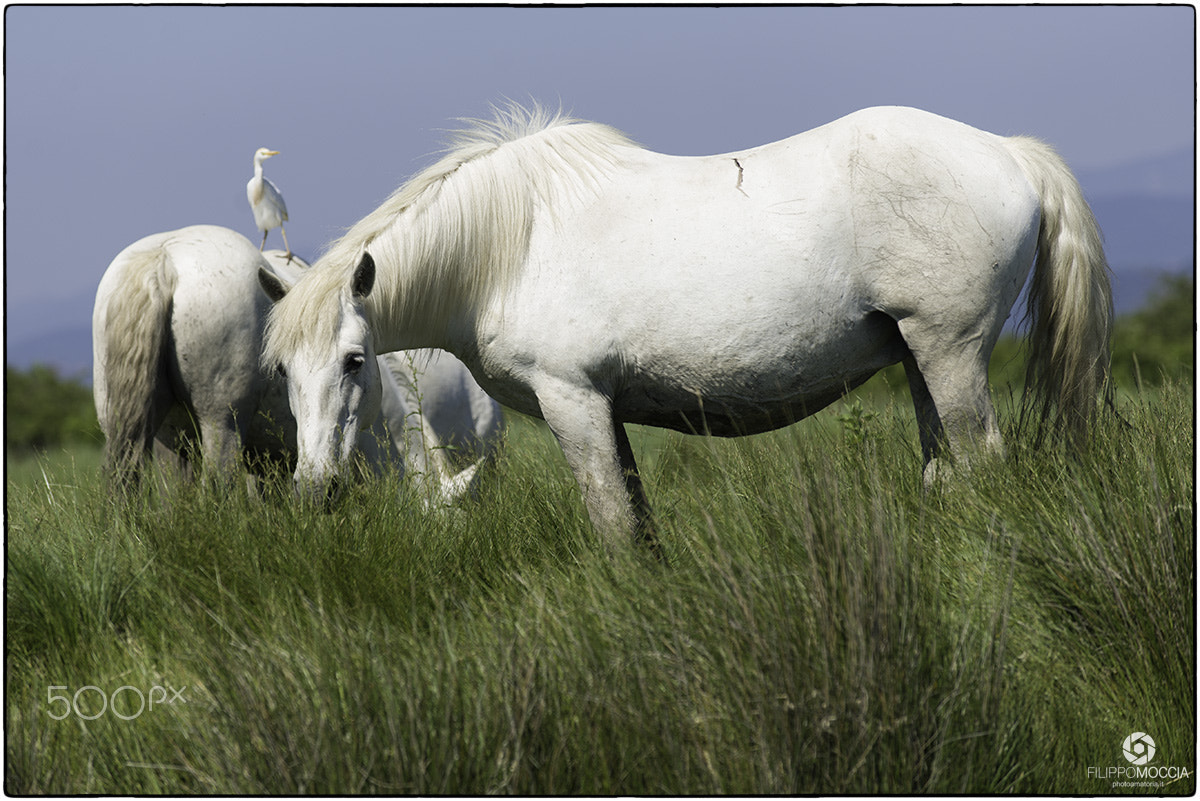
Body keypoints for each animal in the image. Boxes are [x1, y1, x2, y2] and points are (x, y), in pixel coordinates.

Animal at [258, 105, 1112, 549]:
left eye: (356, 360)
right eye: (282, 374)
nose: (315, 491)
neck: (508, 245)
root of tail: (1010, 153)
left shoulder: (573, 401)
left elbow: (613, 524)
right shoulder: (606, 410)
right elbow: (639, 520)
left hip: (950, 353)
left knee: (982, 464)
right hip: (917, 359)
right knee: (945, 472)